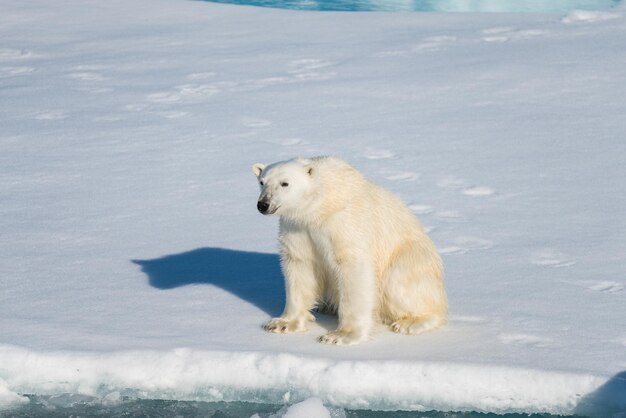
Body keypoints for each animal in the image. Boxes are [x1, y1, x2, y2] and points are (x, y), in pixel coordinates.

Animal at [251, 157, 446, 346]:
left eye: (285, 183)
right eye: (262, 182)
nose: (263, 204)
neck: (320, 205)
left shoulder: (343, 223)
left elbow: (353, 268)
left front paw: (339, 335)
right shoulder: (297, 228)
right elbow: (300, 266)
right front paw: (282, 323)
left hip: (412, 259)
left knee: (399, 282)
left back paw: (410, 323)